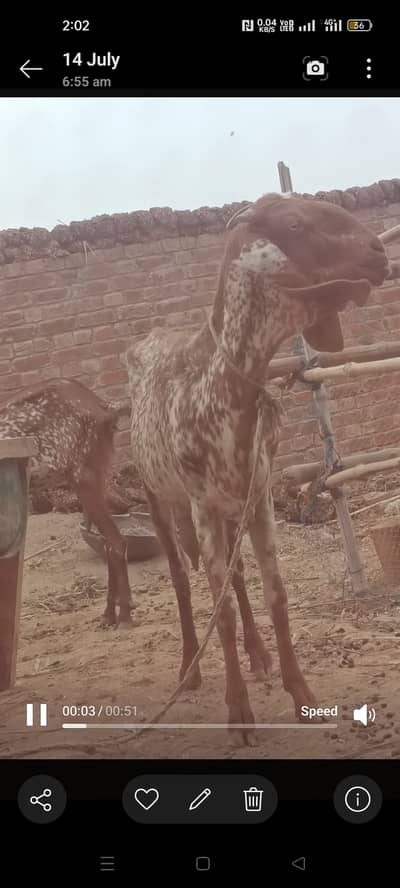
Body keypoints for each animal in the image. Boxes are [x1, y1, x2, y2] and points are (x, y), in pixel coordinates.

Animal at [0, 378, 133, 626]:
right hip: (98, 475)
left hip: (83, 478)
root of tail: (103, 406)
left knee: (117, 541)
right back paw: (109, 613)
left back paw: (125, 614)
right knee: (109, 542)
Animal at [126, 192, 390, 746]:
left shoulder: (261, 495)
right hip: (161, 495)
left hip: (232, 505)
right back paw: (190, 667)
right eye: (293, 223)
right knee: (182, 576)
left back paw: (258, 655)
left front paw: (300, 691)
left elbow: (274, 593)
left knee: (238, 573)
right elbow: (219, 608)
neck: (217, 385)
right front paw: (239, 713)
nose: (378, 252)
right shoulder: (202, 504)